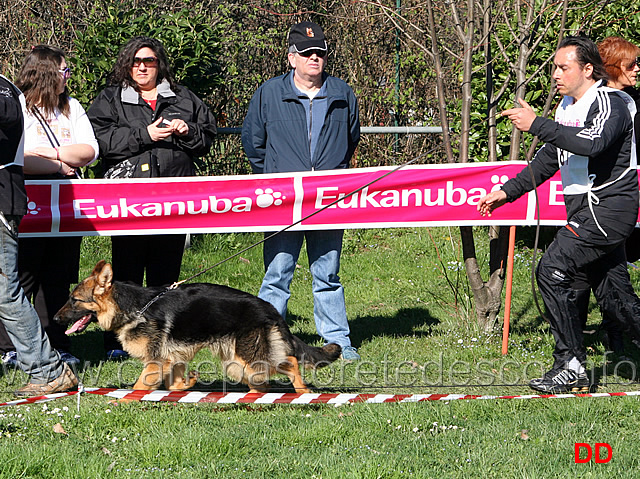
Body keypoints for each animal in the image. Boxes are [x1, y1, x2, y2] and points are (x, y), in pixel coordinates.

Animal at [55, 262, 342, 394]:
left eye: (74, 300)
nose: (56, 320)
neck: (135, 307)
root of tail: (269, 308)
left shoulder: (156, 362)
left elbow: (138, 386)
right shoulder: (173, 360)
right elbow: (174, 386)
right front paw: (189, 383)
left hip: (245, 360)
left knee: (290, 362)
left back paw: (302, 392)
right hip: (238, 363)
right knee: (266, 379)